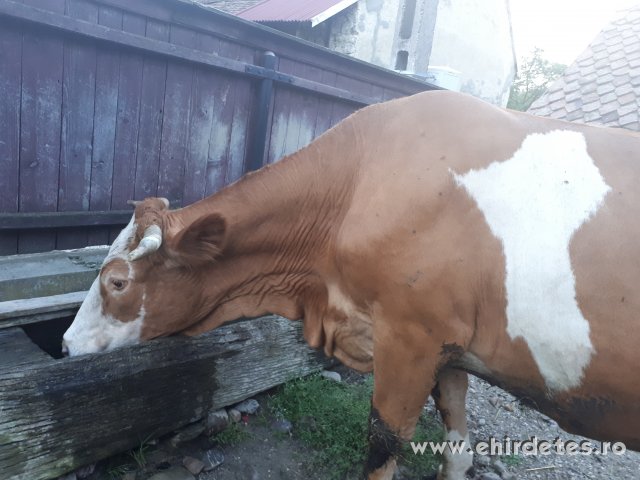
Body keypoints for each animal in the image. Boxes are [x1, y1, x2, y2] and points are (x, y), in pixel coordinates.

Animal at [62, 90, 640, 480]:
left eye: (116, 281)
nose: (65, 344)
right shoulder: (451, 346)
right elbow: (456, 436)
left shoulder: (412, 336)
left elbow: (383, 444)